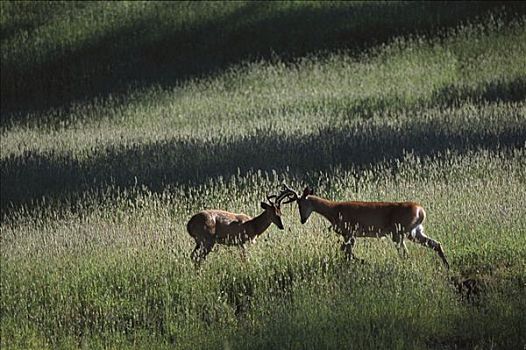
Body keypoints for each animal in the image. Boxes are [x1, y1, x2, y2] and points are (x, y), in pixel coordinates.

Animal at [278, 185, 452, 270]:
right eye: (297, 204)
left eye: (302, 204)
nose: (302, 220)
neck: (334, 210)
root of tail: (421, 210)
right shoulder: (350, 235)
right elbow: (346, 253)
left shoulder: (349, 232)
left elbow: (346, 252)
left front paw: (364, 262)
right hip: (414, 232)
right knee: (435, 244)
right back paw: (447, 266)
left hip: (399, 232)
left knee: (405, 253)